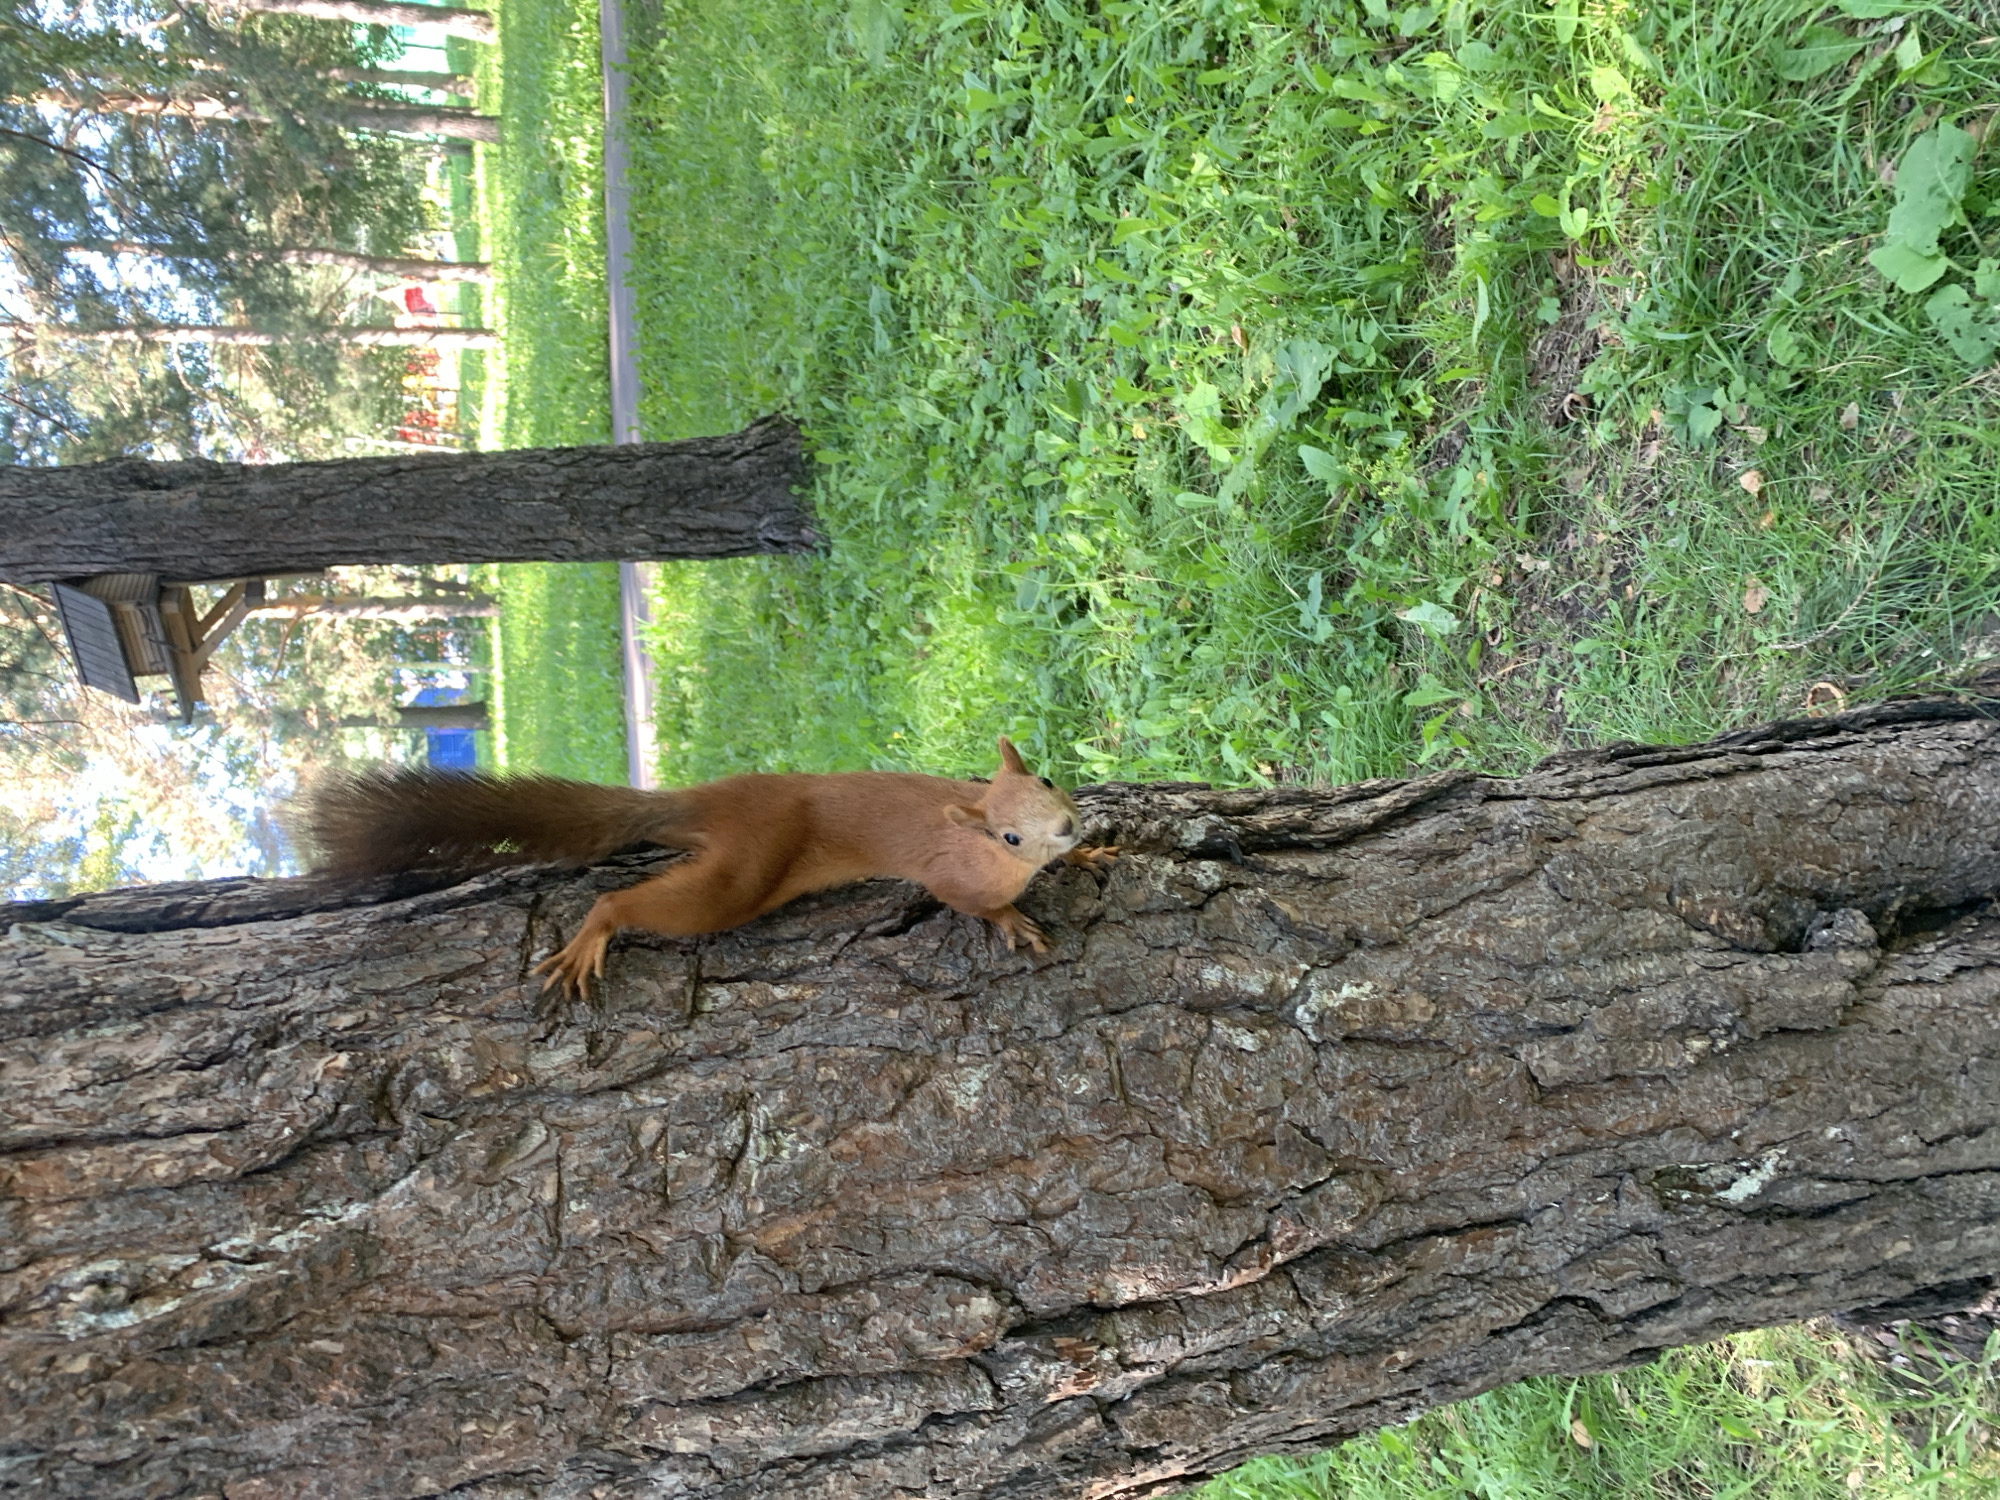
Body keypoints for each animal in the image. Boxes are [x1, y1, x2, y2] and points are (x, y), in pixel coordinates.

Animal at [302, 736, 1117, 997]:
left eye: (1048, 778)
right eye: (1008, 838)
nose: (1066, 825)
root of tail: (714, 801)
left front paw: (1095, 847)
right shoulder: (955, 876)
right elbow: (971, 903)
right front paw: (1013, 921)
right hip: (739, 877)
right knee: (630, 904)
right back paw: (594, 934)